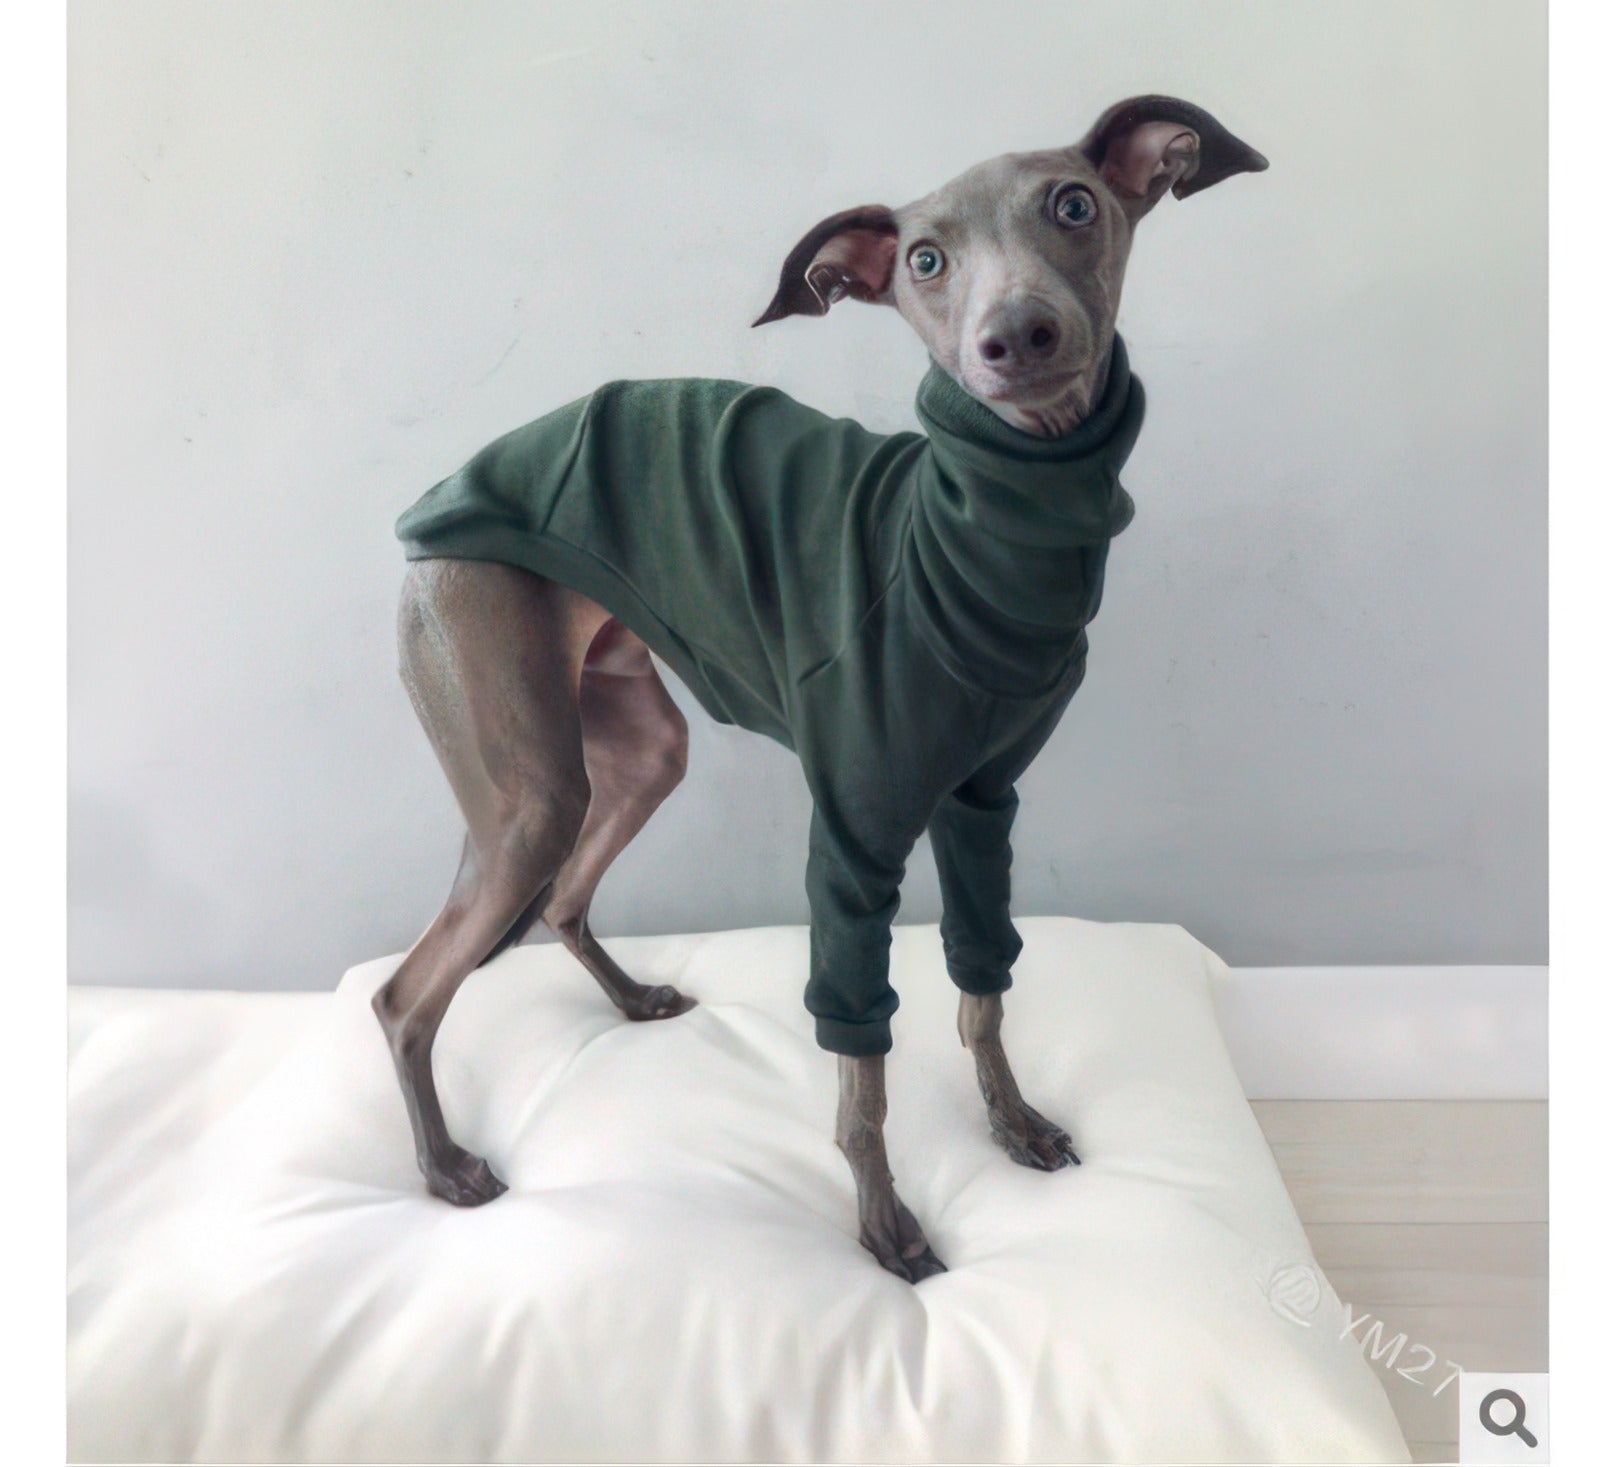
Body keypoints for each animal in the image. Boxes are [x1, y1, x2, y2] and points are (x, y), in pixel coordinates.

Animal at [371, 94, 1260, 1279]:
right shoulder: (852, 835)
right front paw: (885, 1228)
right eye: (925, 259)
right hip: (527, 795)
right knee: (404, 993)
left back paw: (633, 998)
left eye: (1074, 205)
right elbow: (861, 1063)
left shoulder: (983, 806)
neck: (981, 534)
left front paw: (1013, 1123)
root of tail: (433, 506)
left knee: (560, 900)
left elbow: (983, 988)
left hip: (639, 752)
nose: (1015, 339)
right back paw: (444, 1168)